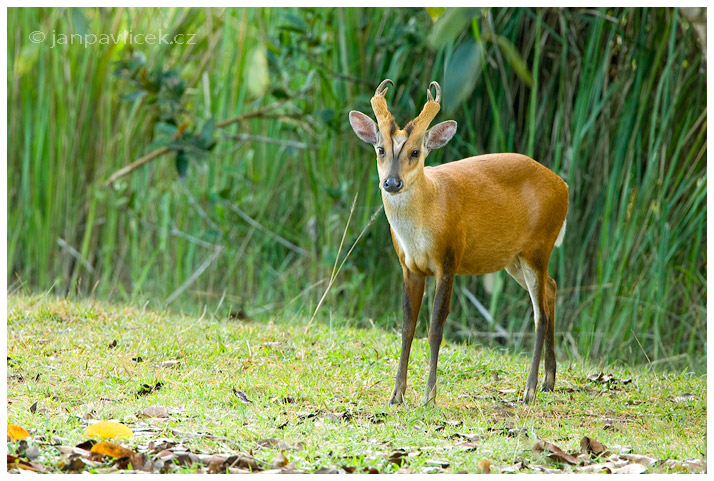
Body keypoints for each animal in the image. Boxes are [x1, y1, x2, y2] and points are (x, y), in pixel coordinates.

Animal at [348, 79, 564, 402]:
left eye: (415, 152)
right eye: (380, 149)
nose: (392, 183)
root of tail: (564, 187)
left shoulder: (449, 258)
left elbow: (436, 328)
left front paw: (429, 396)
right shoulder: (409, 267)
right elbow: (407, 327)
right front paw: (396, 395)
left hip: (538, 247)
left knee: (540, 315)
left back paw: (529, 390)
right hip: (515, 258)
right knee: (551, 288)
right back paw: (549, 381)